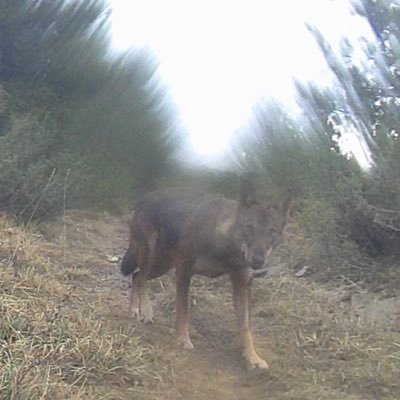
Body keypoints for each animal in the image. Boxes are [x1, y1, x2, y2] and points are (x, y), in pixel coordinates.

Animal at [120, 183, 286, 370]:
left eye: (272, 232)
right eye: (249, 227)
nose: (258, 260)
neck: (226, 244)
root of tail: (145, 196)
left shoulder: (242, 283)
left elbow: (245, 327)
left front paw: (252, 358)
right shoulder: (184, 272)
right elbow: (183, 311)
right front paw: (183, 340)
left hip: (162, 265)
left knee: (136, 276)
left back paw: (135, 310)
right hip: (151, 257)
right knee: (140, 278)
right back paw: (146, 312)